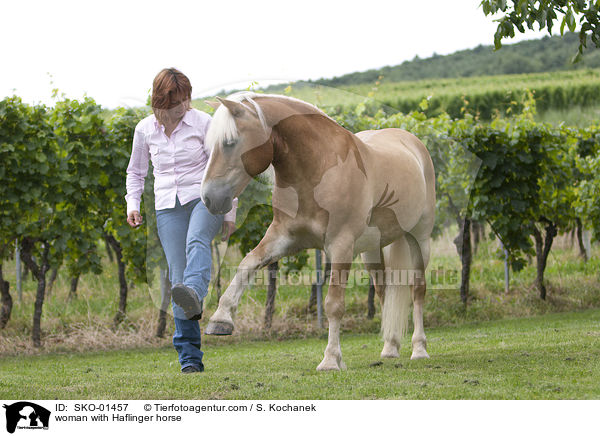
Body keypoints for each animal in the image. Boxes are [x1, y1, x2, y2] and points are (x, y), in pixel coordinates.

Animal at [204, 92, 434, 372]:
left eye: (229, 142)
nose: (208, 198)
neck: (318, 170)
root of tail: (411, 142)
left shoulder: (341, 246)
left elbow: (333, 304)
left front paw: (331, 359)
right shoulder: (282, 238)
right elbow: (247, 264)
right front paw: (220, 319)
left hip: (419, 239)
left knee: (417, 290)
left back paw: (419, 349)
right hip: (371, 250)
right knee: (384, 290)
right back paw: (390, 347)